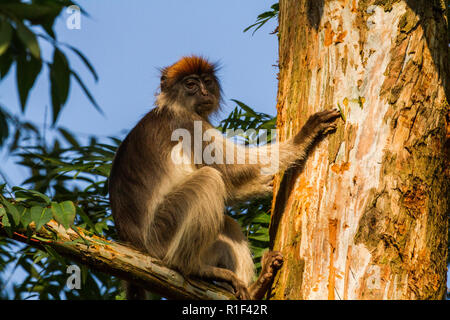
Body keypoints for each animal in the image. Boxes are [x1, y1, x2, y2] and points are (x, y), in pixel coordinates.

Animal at [109, 55, 342, 300]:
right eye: (190, 84)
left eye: (207, 82)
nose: (204, 92)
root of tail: (136, 243)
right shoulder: (187, 122)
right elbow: (230, 170)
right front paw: (305, 134)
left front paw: (267, 186)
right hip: (161, 234)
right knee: (209, 179)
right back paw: (191, 267)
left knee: (227, 221)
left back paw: (256, 287)